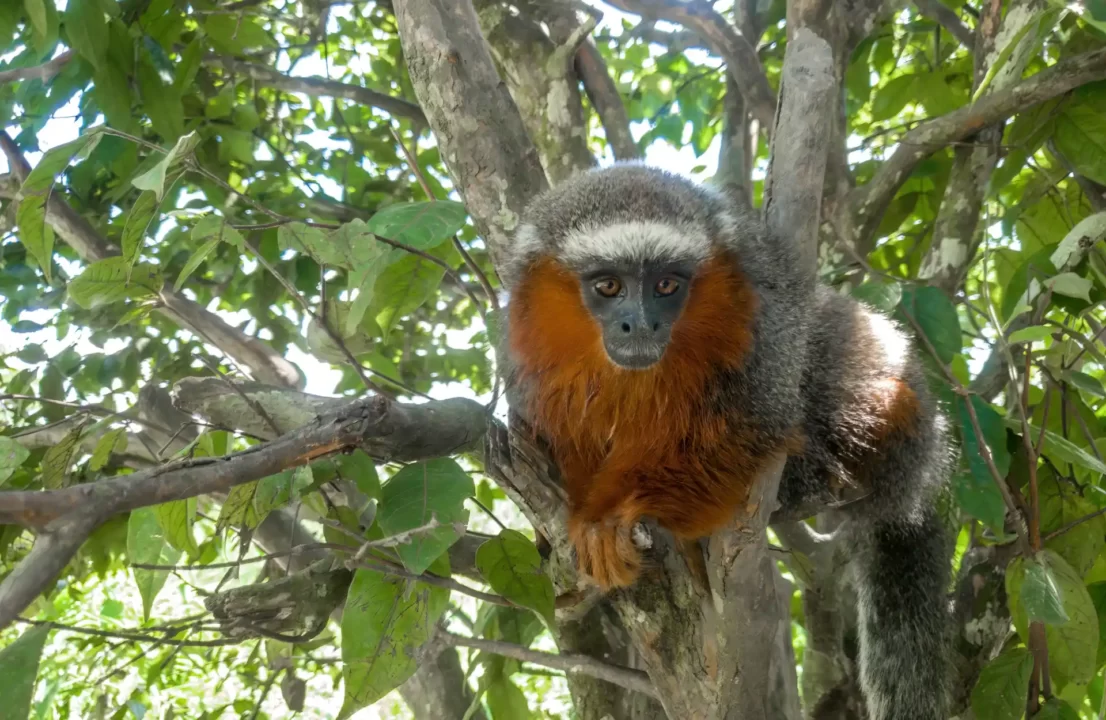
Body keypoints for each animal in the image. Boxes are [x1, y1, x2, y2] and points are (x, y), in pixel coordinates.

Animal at [497, 164, 955, 720]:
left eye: (666, 285)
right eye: (608, 285)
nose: (640, 323)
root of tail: (921, 475)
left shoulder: (763, 307)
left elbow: (753, 423)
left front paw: (613, 517)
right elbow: (561, 436)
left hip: (898, 421)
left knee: (840, 345)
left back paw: (804, 483)